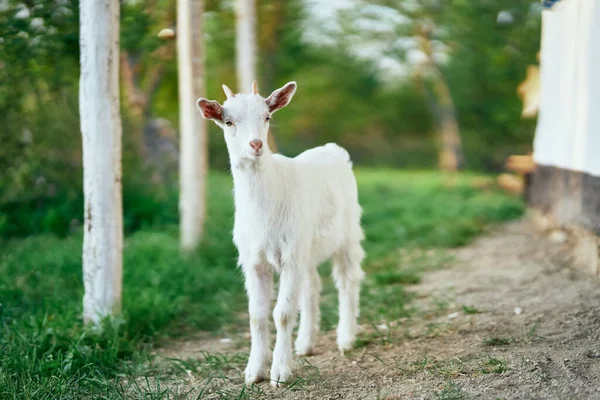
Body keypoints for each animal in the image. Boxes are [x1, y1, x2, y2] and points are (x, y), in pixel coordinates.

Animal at [197, 80, 366, 388]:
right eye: (228, 121)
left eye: (267, 117)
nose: (256, 144)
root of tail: (332, 149)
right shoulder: (254, 260)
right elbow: (256, 315)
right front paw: (253, 372)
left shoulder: (290, 257)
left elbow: (283, 314)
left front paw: (279, 373)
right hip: (307, 246)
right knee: (311, 286)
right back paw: (306, 344)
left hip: (347, 233)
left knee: (348, 280)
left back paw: (346, 338)